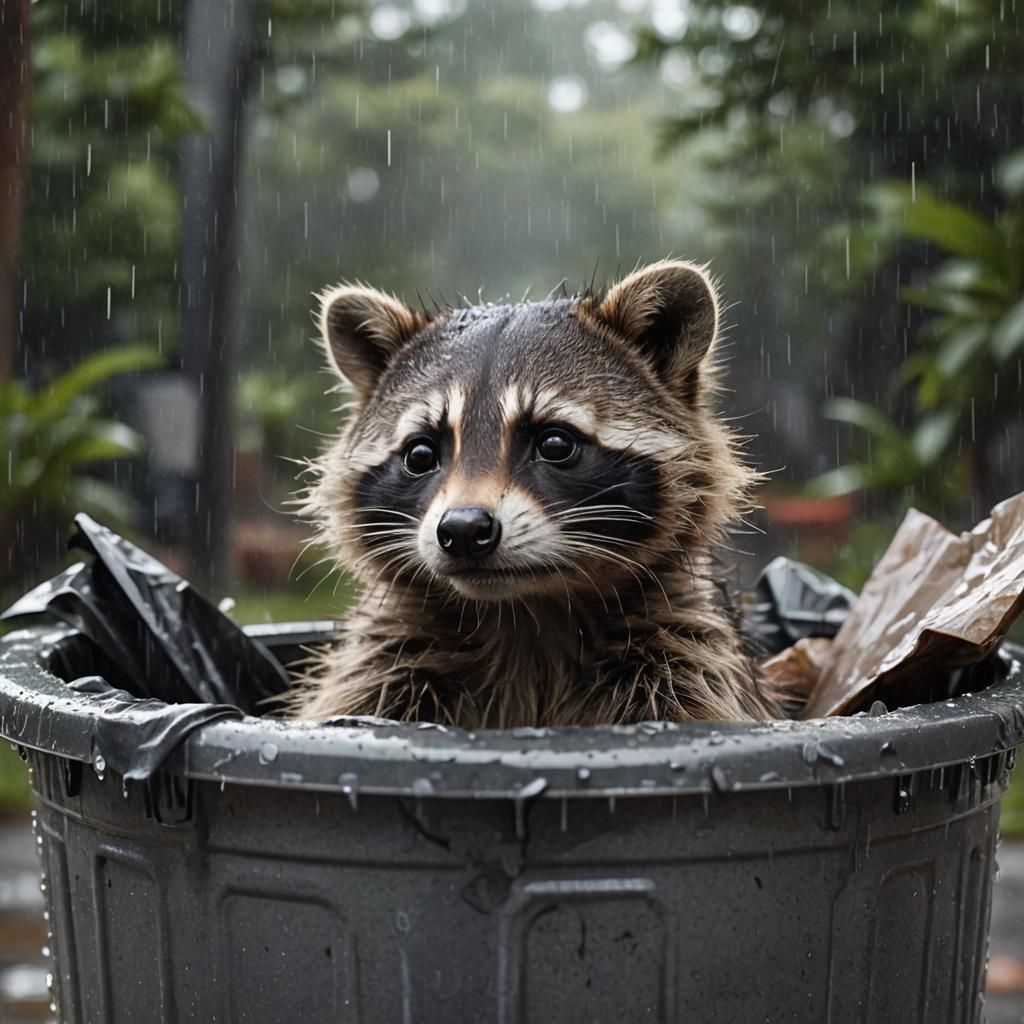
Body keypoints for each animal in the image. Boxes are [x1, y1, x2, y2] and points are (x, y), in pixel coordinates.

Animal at [288, 260, 777, 728]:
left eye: (555, 444)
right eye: (421, 454)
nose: (463, 530)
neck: (525, 612)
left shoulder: (683, 654)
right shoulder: (384, 662)